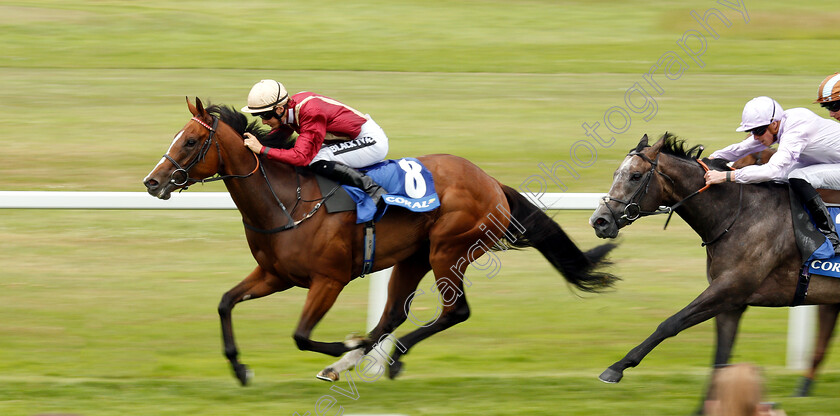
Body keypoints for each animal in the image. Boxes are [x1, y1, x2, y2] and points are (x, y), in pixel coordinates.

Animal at [143, 99, 616, 386]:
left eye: (190, 141)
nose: (152, 182)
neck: (285, 201)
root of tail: (491, 182)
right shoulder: (275, 274)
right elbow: (225, 302)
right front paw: (240, 369)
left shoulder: (329, 279)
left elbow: (300, 335)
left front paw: (345, 346)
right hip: (413, 258)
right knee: (392, 315)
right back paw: (352, 362)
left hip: (450, 250)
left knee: (454, 311)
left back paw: (384, 359)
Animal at [592, 134, 840, 404]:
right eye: (616, 173)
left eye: (635, 175)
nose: (599, 221)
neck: (740, 215)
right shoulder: (731, 302)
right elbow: (721, 360)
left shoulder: (729, 288)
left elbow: (670, 324)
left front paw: (617, 368)